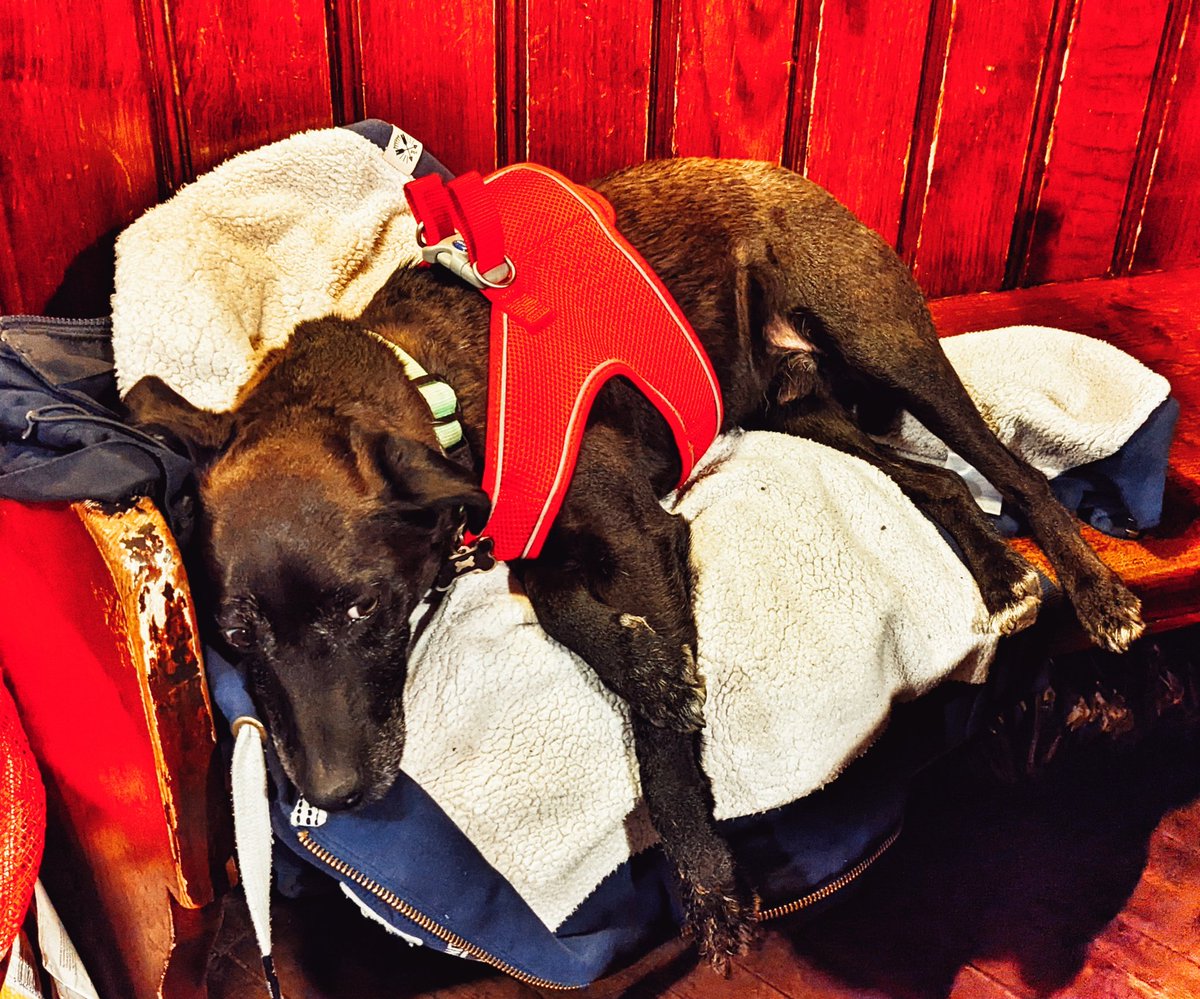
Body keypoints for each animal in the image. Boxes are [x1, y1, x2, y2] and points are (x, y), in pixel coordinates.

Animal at [126, 159, 1147, 970]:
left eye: (363, 610)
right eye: (234, 636)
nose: (332, 794)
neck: (433, 382)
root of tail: (786, 175)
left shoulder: (643, 535)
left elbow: (661, 741)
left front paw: (703, 877)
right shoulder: (546, 546)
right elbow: (567, 609)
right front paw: (648, 660)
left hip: (885, 343)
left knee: (1013, 470)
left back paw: (1094, 590)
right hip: (795, 410)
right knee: (934, 481)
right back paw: (1000, 576)